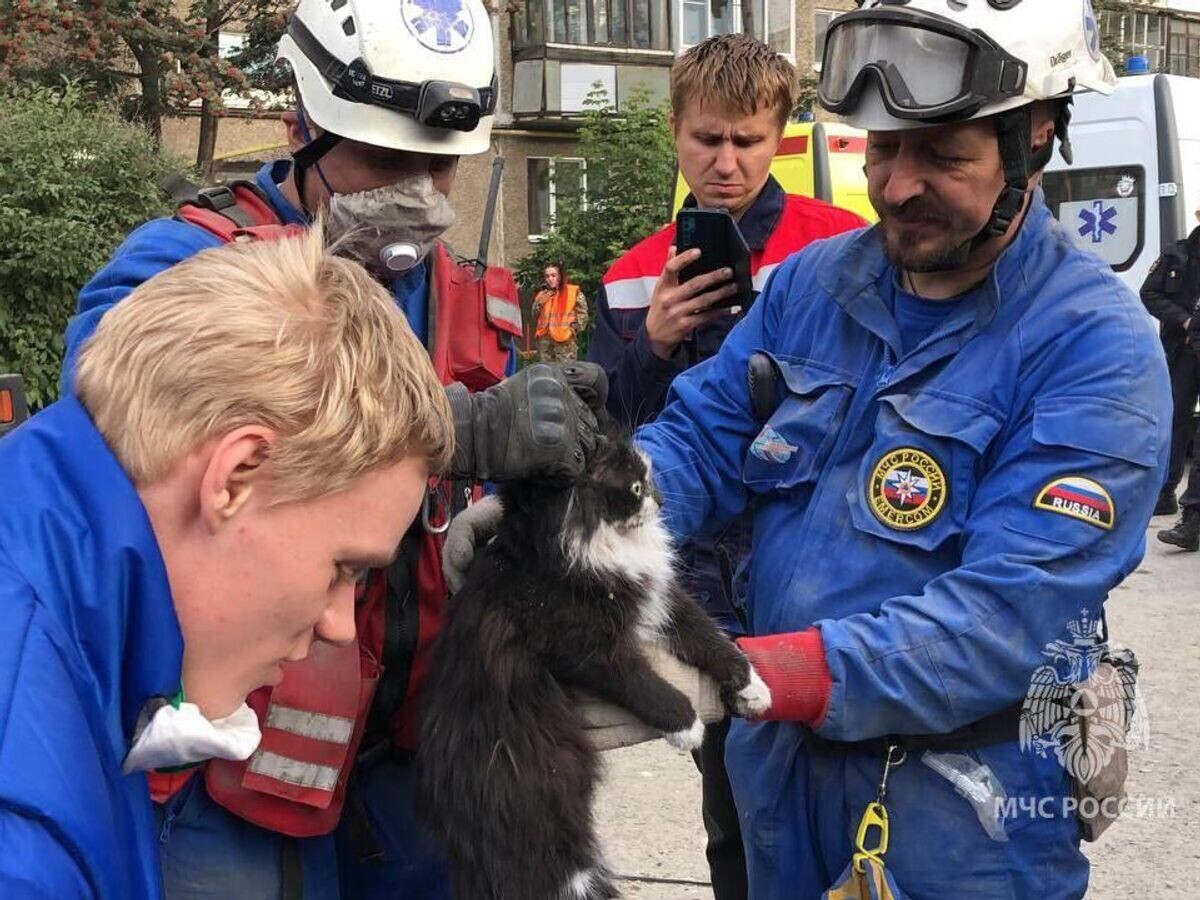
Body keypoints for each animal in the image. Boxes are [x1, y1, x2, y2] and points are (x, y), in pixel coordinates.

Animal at [412, 429, 768, 900]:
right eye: (635, 487)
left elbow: (708, 635)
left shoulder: (660, 598)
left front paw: (751, 685)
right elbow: (644, 684)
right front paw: (688, 725)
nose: (661, 499)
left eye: (650, 475)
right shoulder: (583, 645)